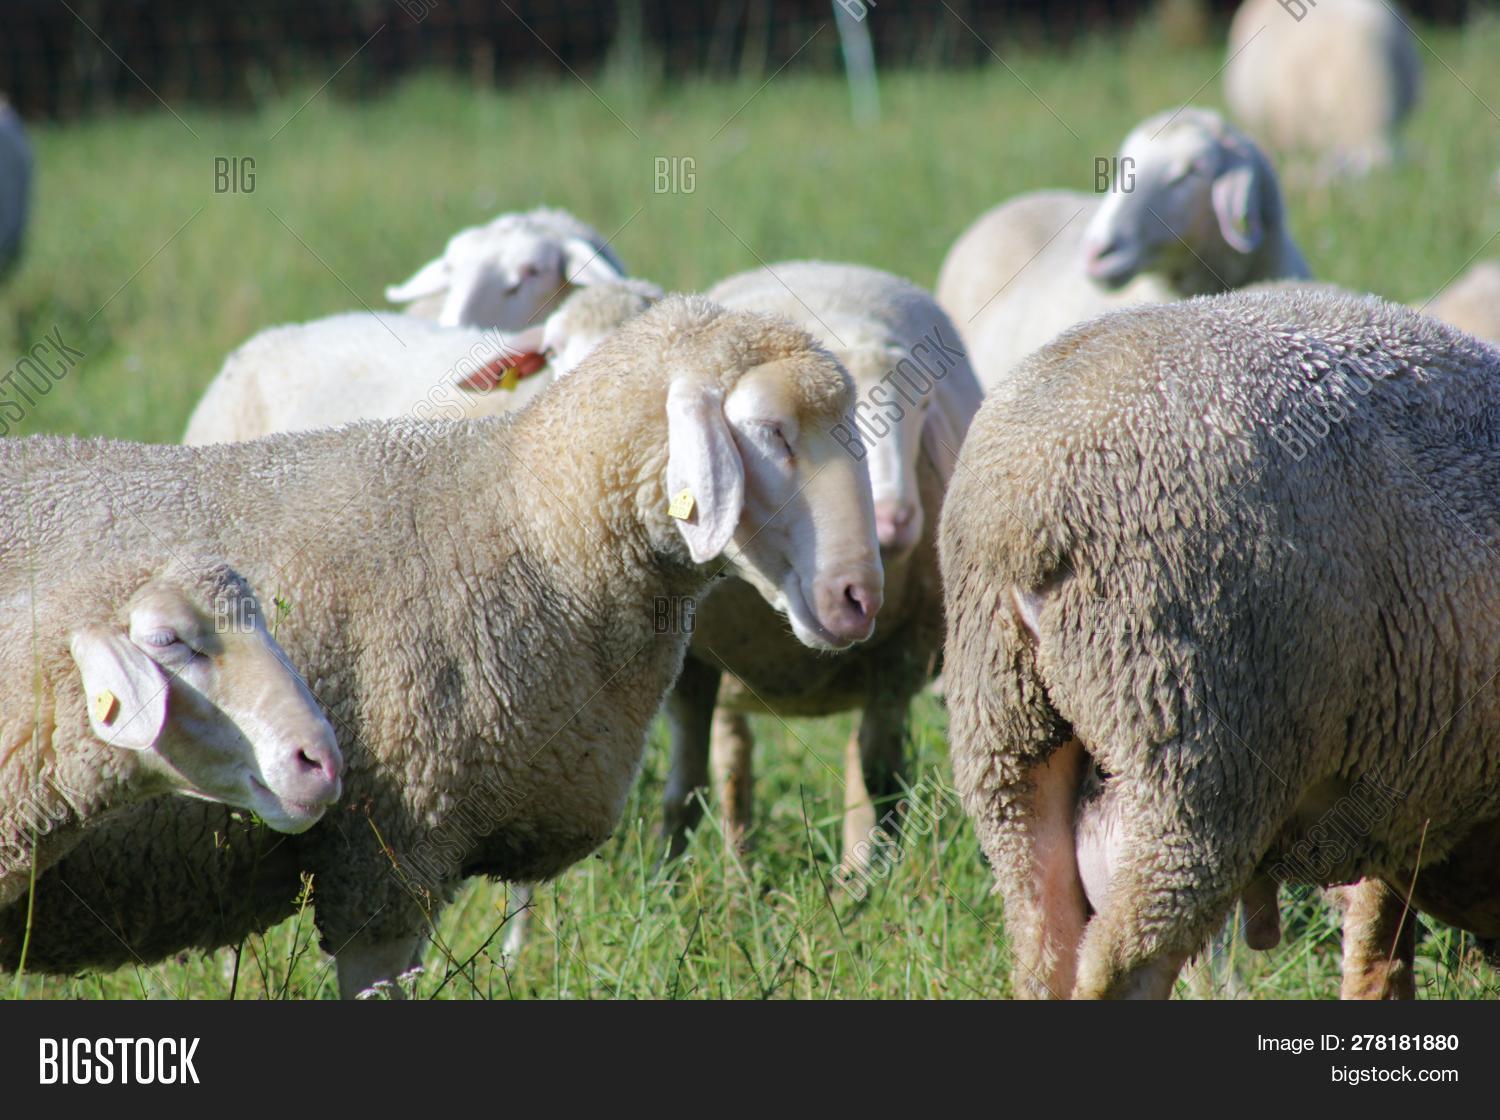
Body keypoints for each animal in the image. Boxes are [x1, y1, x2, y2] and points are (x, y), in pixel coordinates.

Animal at [660, 261, 983, 870]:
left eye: (924, 407)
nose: (895, 520)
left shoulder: (900, 654)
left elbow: (879, 777)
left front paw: (867, 880)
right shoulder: (690, 662)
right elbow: (684, 787)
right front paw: (666, 876)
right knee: (732, 758)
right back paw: (739, 871)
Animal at [941, 287, 1500, 998]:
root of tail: (1022, 511)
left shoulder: (1393, 786)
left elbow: (1378, 946)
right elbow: (1380, 941)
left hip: (1007, 744)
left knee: (1046, 947)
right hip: (1191, 757)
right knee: (1121, 965)